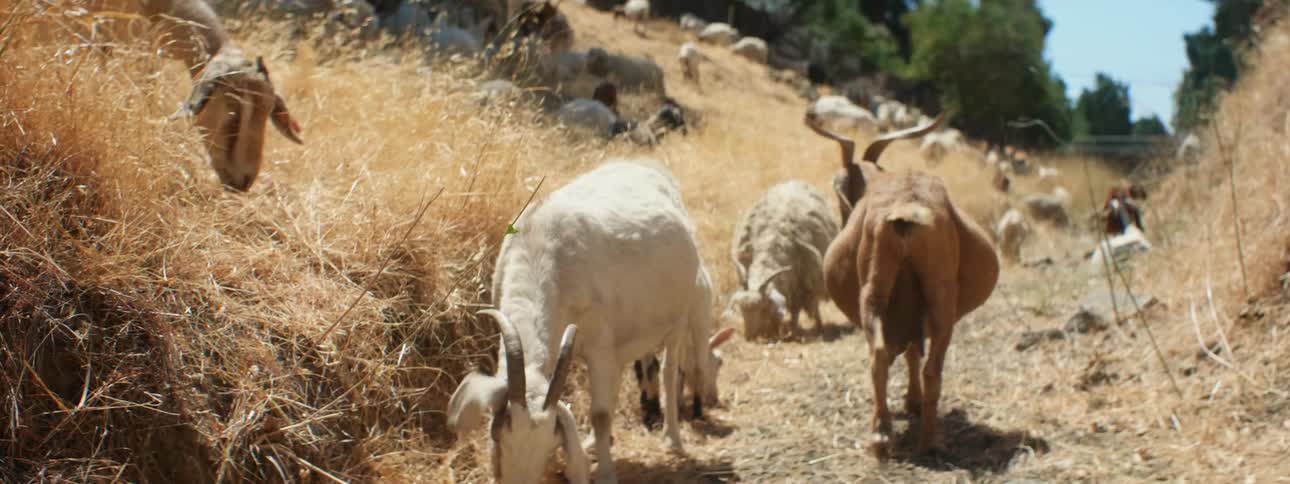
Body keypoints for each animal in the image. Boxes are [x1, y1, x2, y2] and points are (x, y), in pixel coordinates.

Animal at [449, 160, 729, 483]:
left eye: (550, 443)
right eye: (500, 433)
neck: (540, 250)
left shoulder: (598, 344)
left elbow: (601, 413)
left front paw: (606, 472)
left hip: (679, 317)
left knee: (670, 372)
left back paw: (672, 440)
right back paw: (596, 442)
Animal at [726, 180, 838, 340]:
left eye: (763, 309)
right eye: (741, 310)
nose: (749, 337)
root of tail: (794, 181)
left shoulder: (799, 284)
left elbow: (796, 310)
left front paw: (792, 331)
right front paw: (773, 330)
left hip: (813, 278)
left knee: (814, 302)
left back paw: (819, 326)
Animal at [805, 111, 1000, 455]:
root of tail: (907, 208)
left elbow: (909, 351)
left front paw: (911, 403)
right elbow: (913, 352)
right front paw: (913, 403)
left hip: (879, 293)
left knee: (885, 356)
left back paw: (888, 435)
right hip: (936, 301)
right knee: (924, 366)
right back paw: (921, 440)